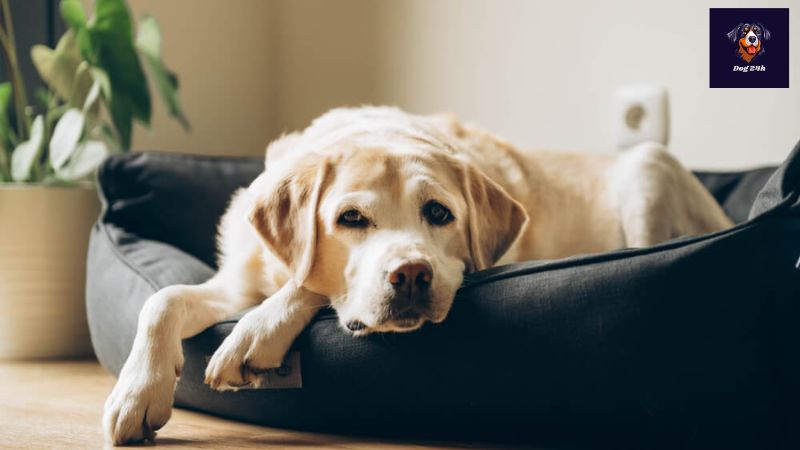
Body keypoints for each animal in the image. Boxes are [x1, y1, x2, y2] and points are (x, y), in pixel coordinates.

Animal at [100, 105, 732, 442]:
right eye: (351, 219)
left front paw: (256, 333)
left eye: (439, 214)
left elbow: (307, 285)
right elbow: (162, 300)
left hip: (648, 166)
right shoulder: (235, 281)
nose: (409, 275)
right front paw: (137, 391)